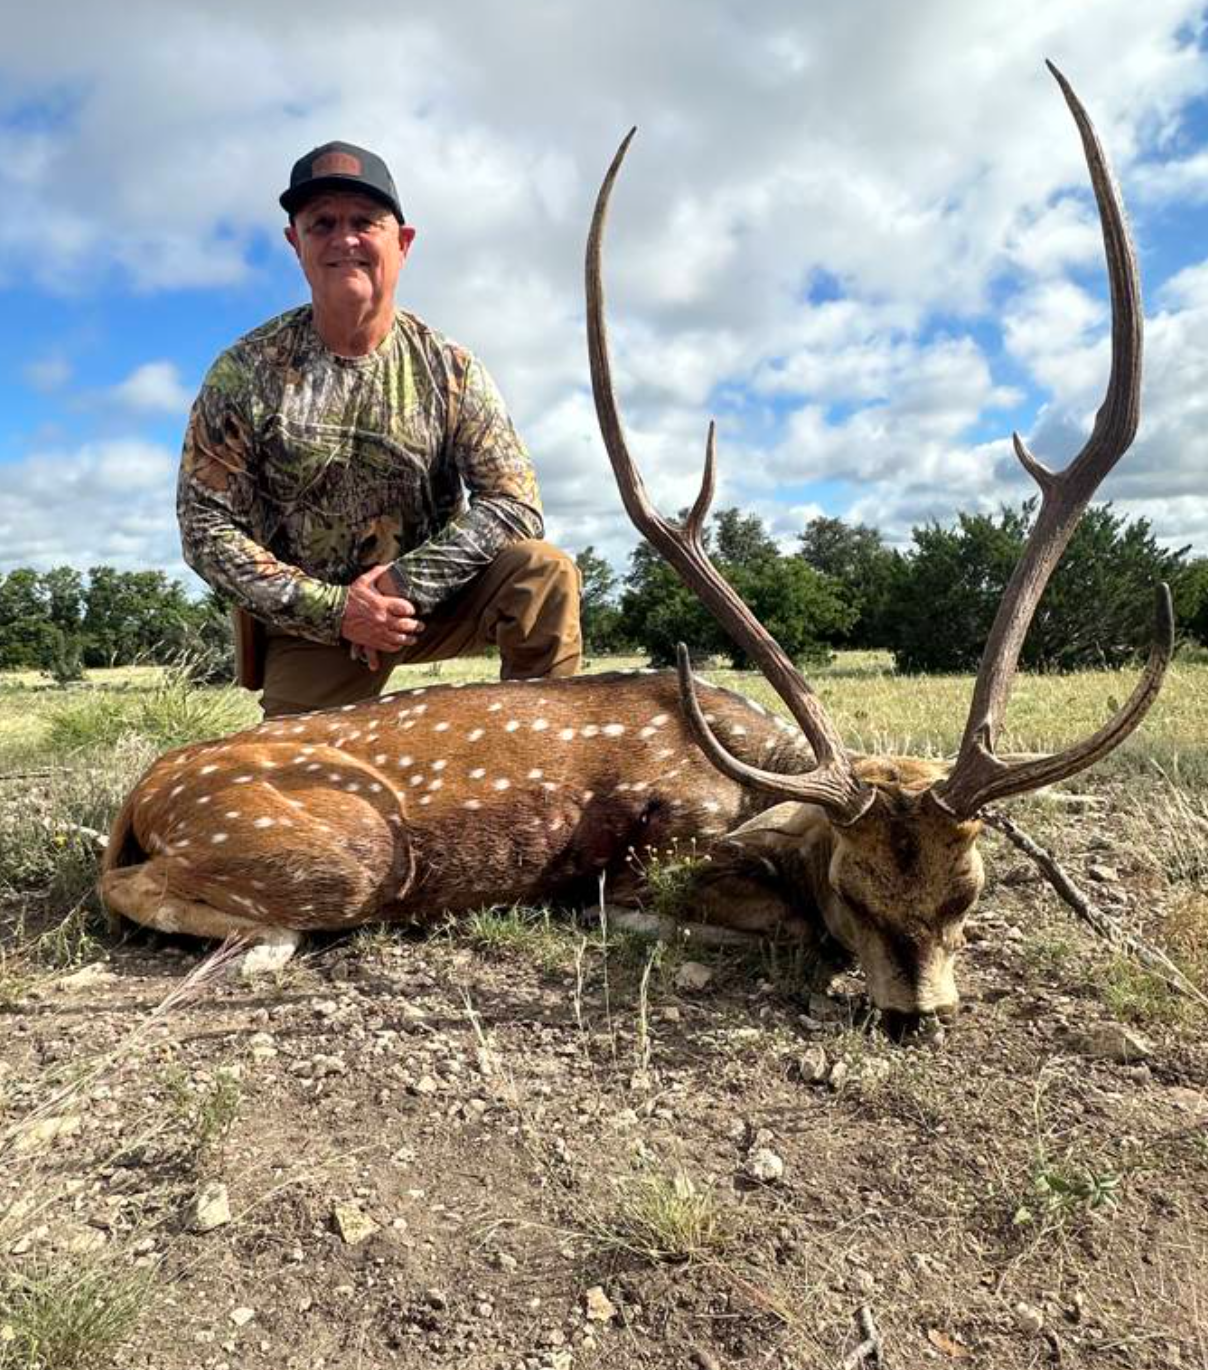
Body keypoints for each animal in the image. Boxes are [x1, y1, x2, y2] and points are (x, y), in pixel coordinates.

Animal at [101, 64, 1171, 1033]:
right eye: (852, 887)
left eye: (970, 891)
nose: (923, 1014)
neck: (746, 770)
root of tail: (140, 796)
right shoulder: (660, 852)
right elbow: (736, 917)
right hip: (341, 848)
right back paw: (263, 943)